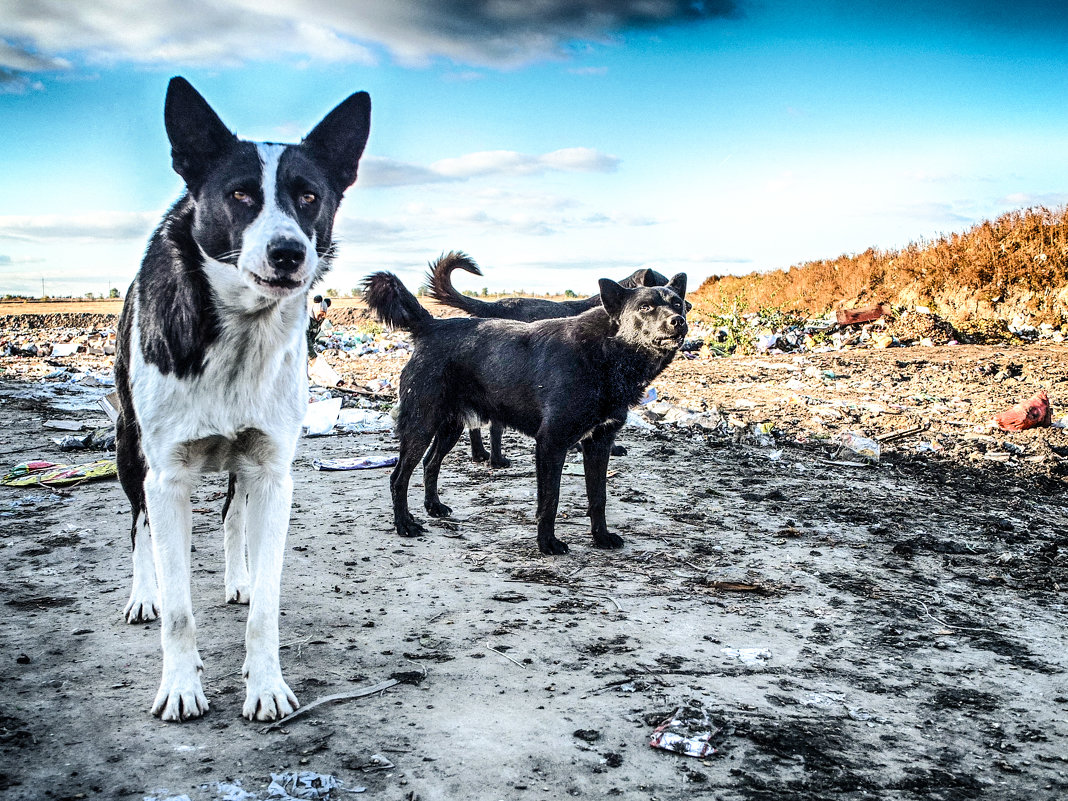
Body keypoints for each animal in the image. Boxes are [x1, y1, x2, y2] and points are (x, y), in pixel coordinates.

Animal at [116, 78, 371, 726]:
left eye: (308, 197)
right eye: (239, 195)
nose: (288, 253)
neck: (238, 331)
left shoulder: (274, 472)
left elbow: (266, 609)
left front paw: (267, 684)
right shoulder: (167, 477)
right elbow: (180, 609)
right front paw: (181, 686)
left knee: (234, 512)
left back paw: (239, 577)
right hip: (130, 451)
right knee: (138, 526)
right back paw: (143, 595)